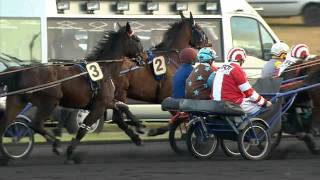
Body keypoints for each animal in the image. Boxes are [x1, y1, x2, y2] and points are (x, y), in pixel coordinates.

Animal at [0, 22, 145, 163]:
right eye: (137, 40)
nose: (144, 57)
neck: (104, 69)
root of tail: (20, 71)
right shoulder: (99, 106)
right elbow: (83, 129)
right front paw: (71, 153)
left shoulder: (103, 103)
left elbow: (123, 107)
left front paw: (138, 129)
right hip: (49, 102)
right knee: (36, 124)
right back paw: (56, 144)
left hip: (17, 101)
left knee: (6, 124)